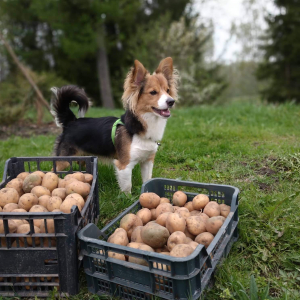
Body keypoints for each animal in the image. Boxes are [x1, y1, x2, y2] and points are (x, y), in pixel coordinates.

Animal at [51, 56, 178, 192]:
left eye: (168, 90)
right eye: (153, 92)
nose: (171, 101)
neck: (139, 127)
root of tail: (71, 121)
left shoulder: (147, 162)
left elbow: (147, 180)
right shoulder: (124, 165)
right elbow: (127, 186)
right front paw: (127, 196)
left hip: (83, 158)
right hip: (64, 160)